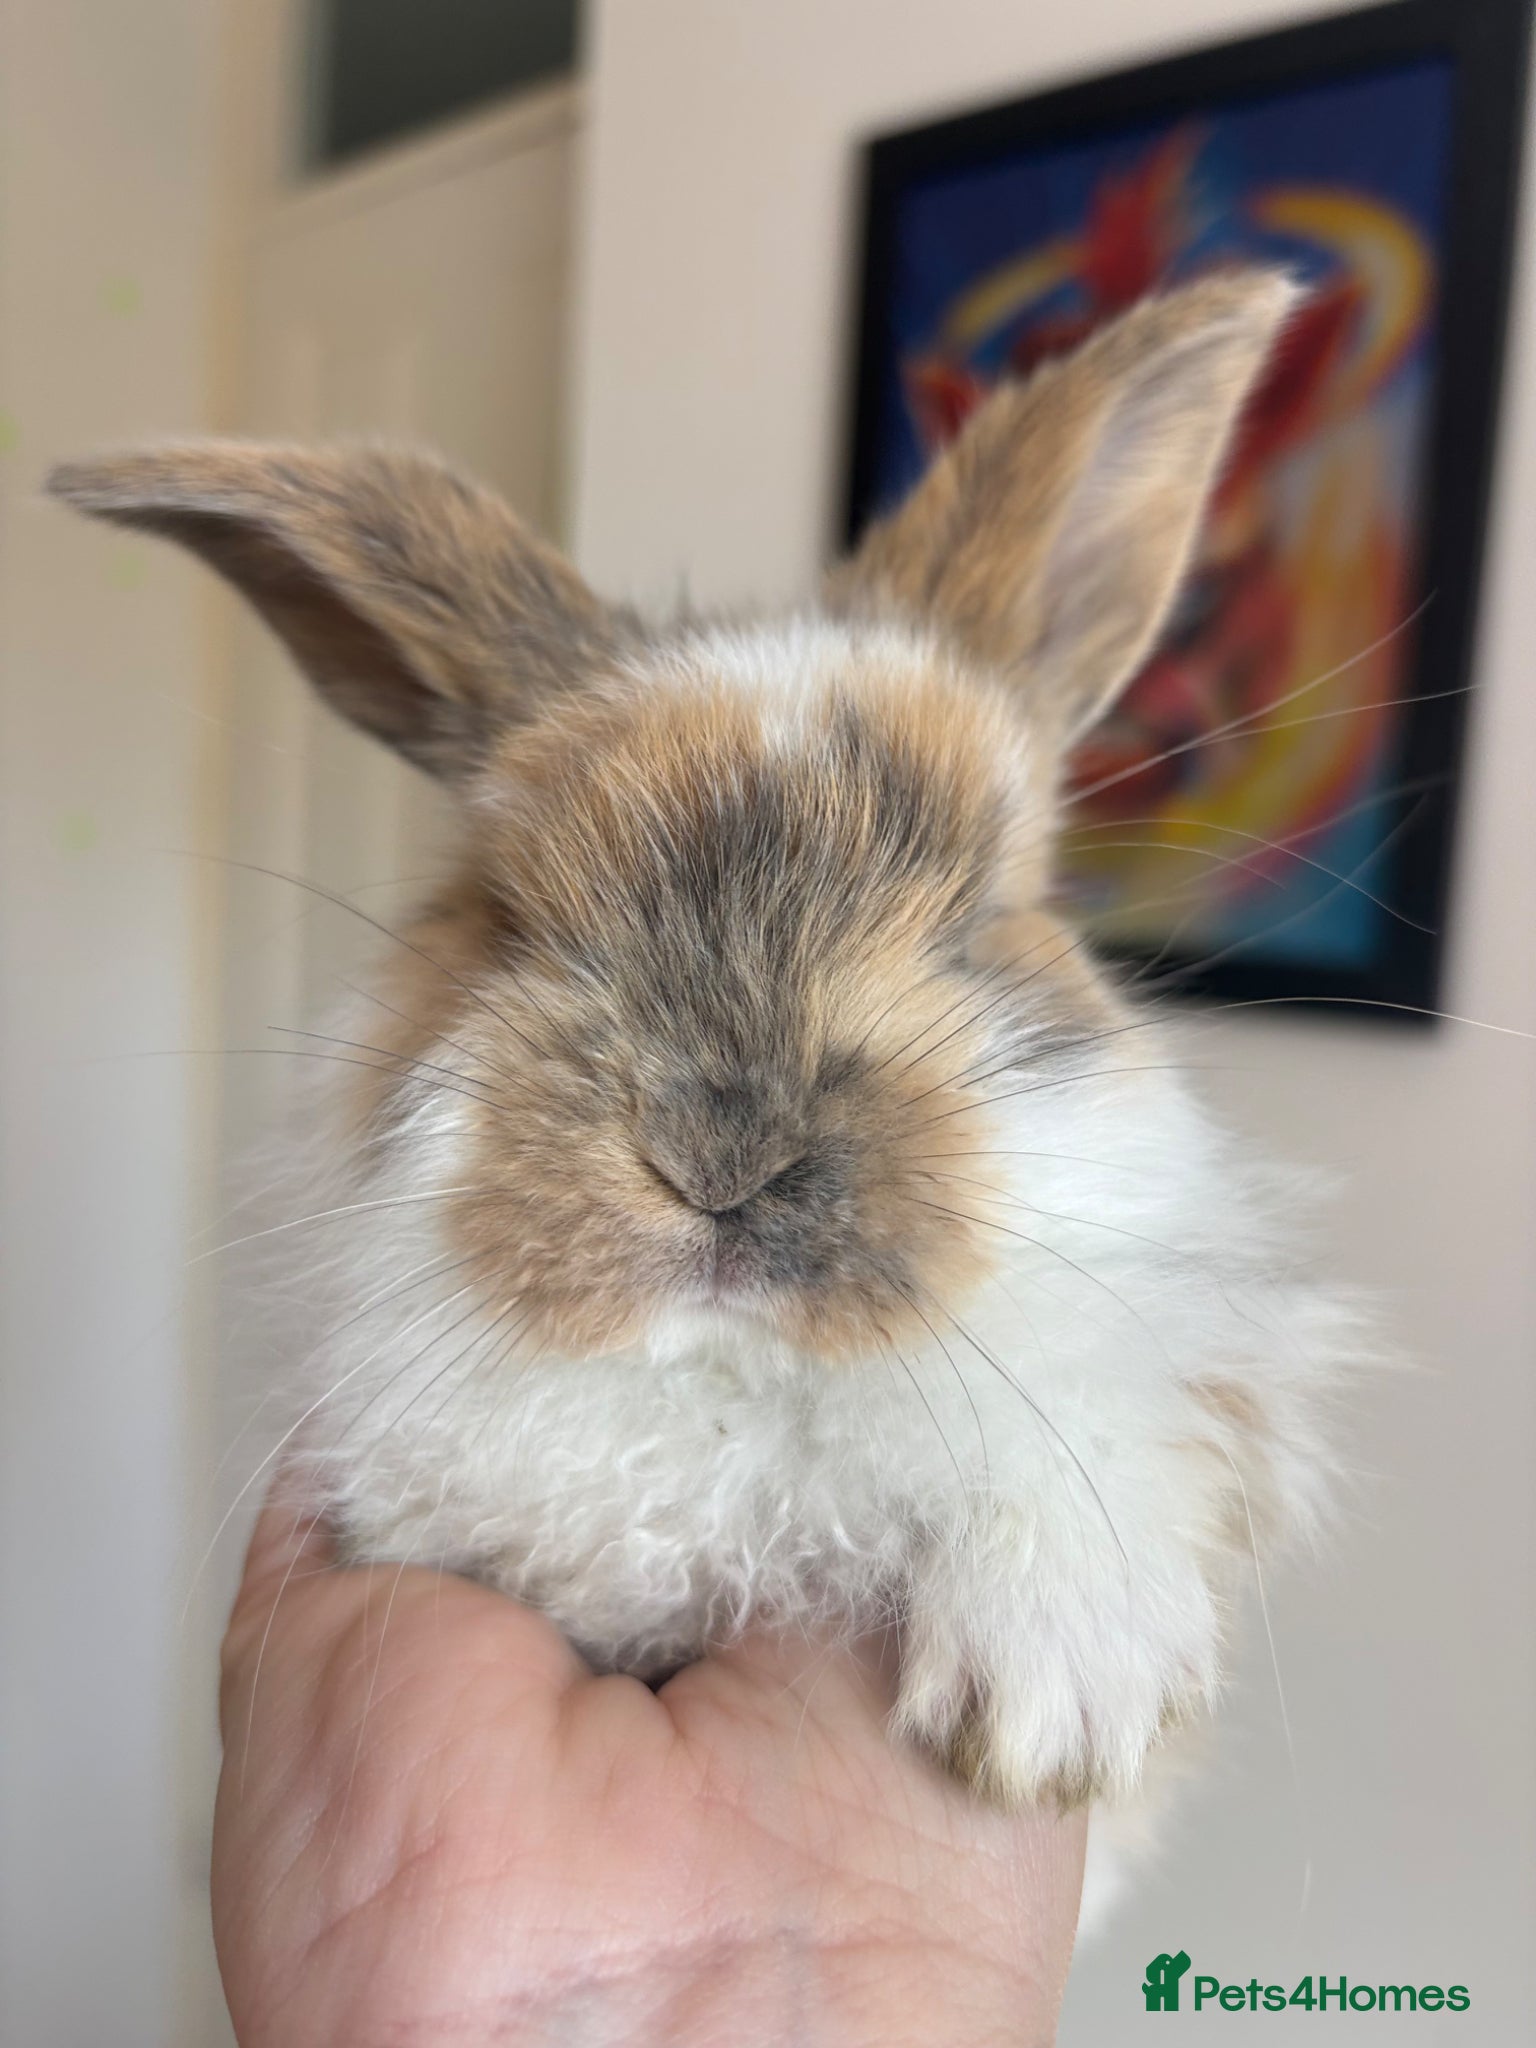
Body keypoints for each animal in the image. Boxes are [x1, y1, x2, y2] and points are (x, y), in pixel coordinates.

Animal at [51, 269, 1359, 1922]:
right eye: (507, 911)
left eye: (976, 919)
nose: (721, 1155)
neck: (731, 1387)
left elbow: (1100, 1430)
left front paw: (1056, 1696)